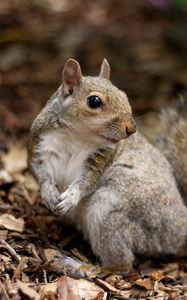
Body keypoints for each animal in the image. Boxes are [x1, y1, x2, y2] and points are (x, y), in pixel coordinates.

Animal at [27, 58, 187, 272]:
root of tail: (180, 232)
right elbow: (39, 172)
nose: (132, 129)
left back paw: (82, 267)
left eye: (124, 95)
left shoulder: (101, 158)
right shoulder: (39, 146)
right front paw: (49, 193)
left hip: (109, 210)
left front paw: (71, 197)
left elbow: (88, 181)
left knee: (121, 265)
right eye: (94, 101)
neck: (76, 136)